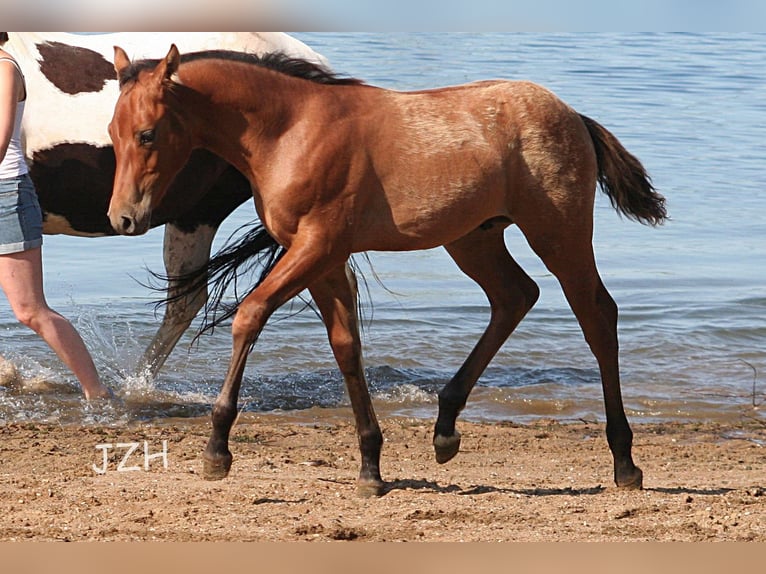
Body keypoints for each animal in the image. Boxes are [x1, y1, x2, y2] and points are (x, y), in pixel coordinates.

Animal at [106, 45, 664, 498]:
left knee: (596, 315)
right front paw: (371, 467)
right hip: (473, 238)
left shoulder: (316, 246)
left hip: (558, 233)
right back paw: (445, 428)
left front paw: (217, 450)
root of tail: (573, 115)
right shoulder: (323, 260)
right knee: (515, 296)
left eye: (147, 134)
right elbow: (346, 347)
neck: (291, 130)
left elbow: (250, 314)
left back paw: (624, 461)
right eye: (112, 132)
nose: (123, 218)